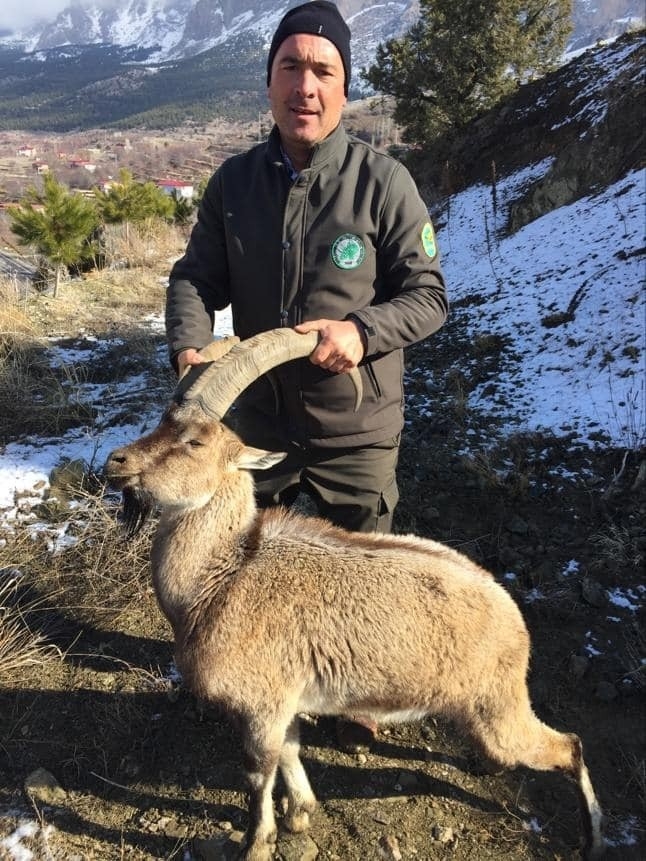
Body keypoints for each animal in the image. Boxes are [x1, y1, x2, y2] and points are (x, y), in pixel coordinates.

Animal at [104, 328, 604, 860]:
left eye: (194, 441)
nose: (116, 463)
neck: (222, 576)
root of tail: (513, 618)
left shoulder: (261, 704)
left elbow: (258, 773)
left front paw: (258, 842)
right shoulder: (286, 699)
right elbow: (291, 749)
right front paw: (301, 813)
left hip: (496, 711)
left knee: (570, 745)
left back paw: (593, 837)